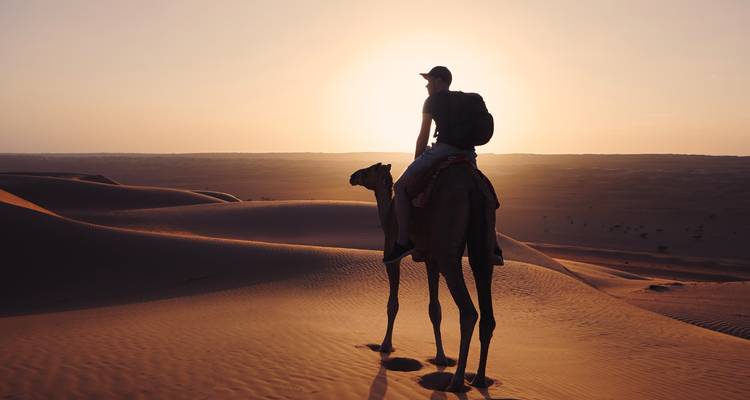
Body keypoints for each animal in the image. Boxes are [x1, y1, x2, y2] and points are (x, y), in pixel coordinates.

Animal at [350, 161, 497, 391]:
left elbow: (393, 304)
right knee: (487, 312)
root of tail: (473, 186)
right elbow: (435, 309)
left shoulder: (391, 252)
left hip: (448, 254)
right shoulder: (430, 260)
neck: (388, 213)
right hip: (483, 246)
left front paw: (385, 345)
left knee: (469, 312)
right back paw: (479, 379)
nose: (353, 176)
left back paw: (456, 381)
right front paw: (440, 358)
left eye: (369, 170)